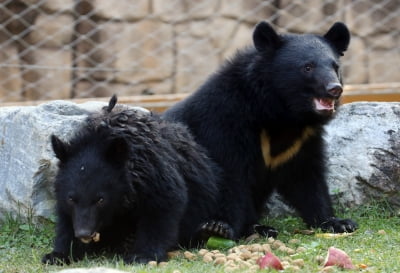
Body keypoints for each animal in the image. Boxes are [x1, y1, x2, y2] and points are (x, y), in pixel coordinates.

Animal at [43, 95, 222, 264]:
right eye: (71, 199)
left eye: (100, 199)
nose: (84, 233)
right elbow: (66, 219)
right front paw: (58, 255)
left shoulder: (154, 172)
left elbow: (162, 207)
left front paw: (142, 256)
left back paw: (211, 230)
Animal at [164, 21, 358, 238]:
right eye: (307, 67)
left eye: (335, 67)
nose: (335, 89)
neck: (283, 114)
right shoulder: (224, 125)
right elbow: (230, 177)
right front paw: (219, 227)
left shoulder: (303, 141)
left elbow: (307, 178)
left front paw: (337, 223)